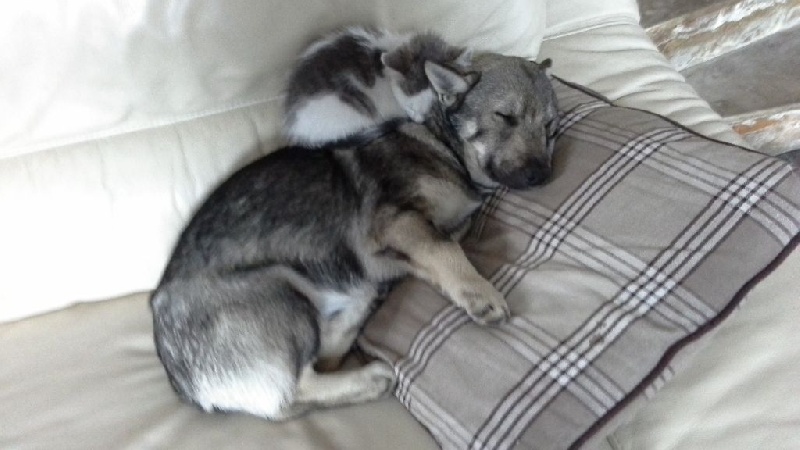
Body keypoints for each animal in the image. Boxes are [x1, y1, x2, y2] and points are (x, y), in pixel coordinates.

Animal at [150, 52, 559, 421]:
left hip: (344, 299)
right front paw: (481, 294)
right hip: (279, 290)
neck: (443, 148)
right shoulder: (397, 220)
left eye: (550, 127)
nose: (542, 176)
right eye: (505, 117)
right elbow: (448, 251)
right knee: (290, 396)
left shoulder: (422, 236)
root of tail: (186, 385)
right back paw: (371, 378)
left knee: (322, 361)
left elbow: (444, 248)